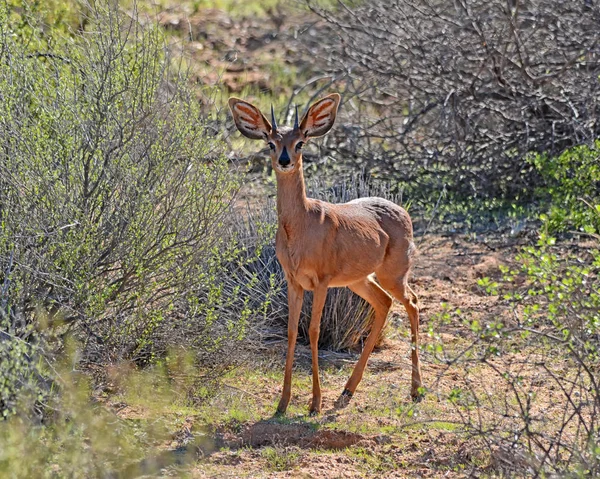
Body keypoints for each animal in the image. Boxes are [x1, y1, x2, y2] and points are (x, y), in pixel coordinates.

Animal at [230, 94, 422, 416]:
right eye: (270, 142)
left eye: (300, 142)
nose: (284, 161)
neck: (301, 226)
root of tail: (402, 212)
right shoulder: (293, 281)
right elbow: (293, 332)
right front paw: (283, 403)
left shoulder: (320, 282)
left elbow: (315, 330)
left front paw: (315, 403)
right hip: (359, 280)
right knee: (383, 303)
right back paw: (346, 391)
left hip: (393, 275)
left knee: (413, 303)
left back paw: (416, 390)